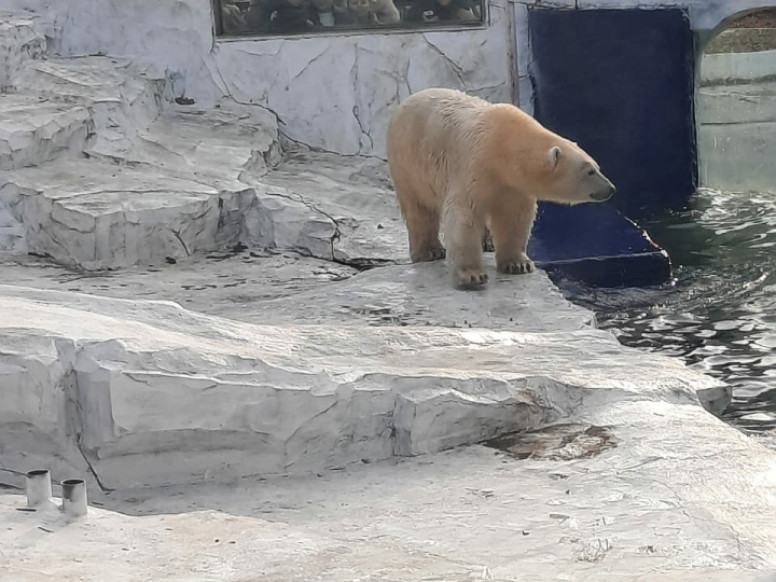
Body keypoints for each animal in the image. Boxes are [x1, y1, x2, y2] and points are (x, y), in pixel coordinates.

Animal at [384, 88, 616, 290]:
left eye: (597, 166)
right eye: (589, 171)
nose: (611, 188)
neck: (502, 146)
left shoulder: (512, 186)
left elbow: (514, 217)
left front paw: (518, 264)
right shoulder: (474, 165)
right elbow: (463, 216)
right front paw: (472, 276)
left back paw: (488, 243)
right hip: (407, 162)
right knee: (418, 209)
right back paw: (429, 251)